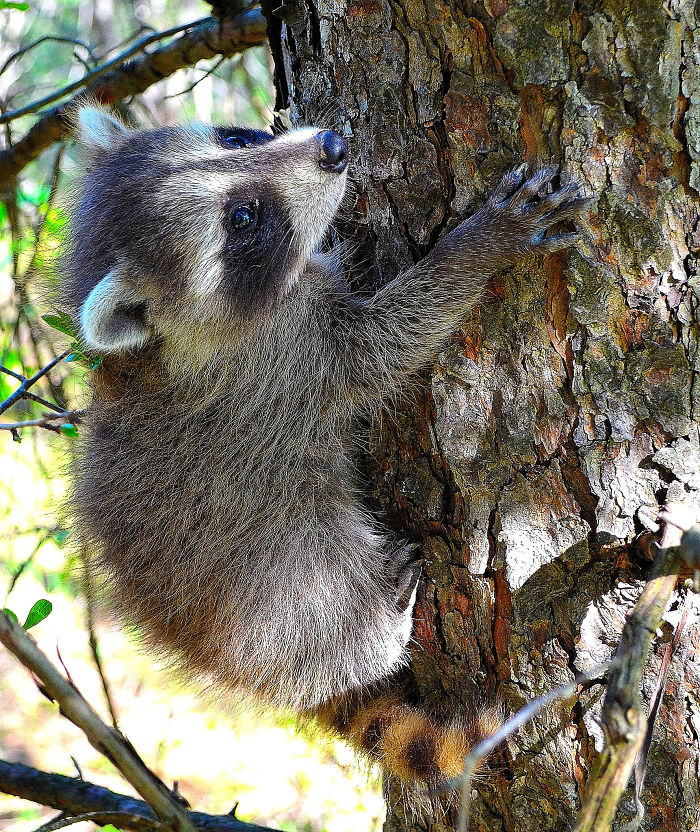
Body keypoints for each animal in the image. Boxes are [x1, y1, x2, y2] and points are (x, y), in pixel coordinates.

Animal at [61, 106, 587, 802]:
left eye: (236, 139)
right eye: (242, 220)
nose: (334, 146)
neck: (158, 351)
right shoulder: (285, 357)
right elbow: (383, 347)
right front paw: (478, 246)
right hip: (271, 593)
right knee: (323, 610)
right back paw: (376, 632)